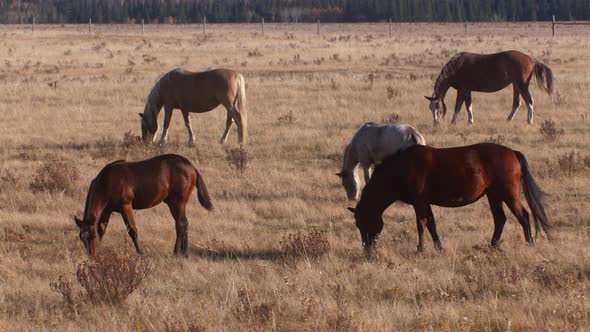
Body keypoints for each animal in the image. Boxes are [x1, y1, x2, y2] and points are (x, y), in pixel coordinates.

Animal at [73, 154, 214, 258]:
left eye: (92, 236)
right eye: (81, 238)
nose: (91, 256)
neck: (107, 181)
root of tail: (190, 165)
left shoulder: (125, 206)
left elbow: (132, 230)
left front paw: (140, 253)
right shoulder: (107, 210)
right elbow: (102, 229)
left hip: (178, 202)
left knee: (181, 223)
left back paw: (176, 253)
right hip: (173, 203)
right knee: (184, 223)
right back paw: (185, 253)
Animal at [350, 143, 552, 254]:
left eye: (364, 222)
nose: (366, 250)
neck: (403, 167)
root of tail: (512, 152)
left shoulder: (419, 202)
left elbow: (421, 224)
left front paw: (420, 250)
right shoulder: (425, 203)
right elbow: (431, 224)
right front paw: (439, 248)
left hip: (508, 193)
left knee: (523, 216)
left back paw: (529, 243)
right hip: (494, 195)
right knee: (500, 219)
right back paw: (492, 246)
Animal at [426, 50, 556, 126]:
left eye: (438, 107)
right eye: (430, 108)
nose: (436, 124)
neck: (455, 67)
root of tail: (530, 58)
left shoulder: (462, 89)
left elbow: (458, 106)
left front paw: (454, 122)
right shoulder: (467, 90)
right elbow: (468, 106)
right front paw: (470, 121)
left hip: (522, 85)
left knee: (529, 101)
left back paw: (529, 121)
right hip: (516, 85)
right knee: (517, 103)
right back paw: (508, 120)